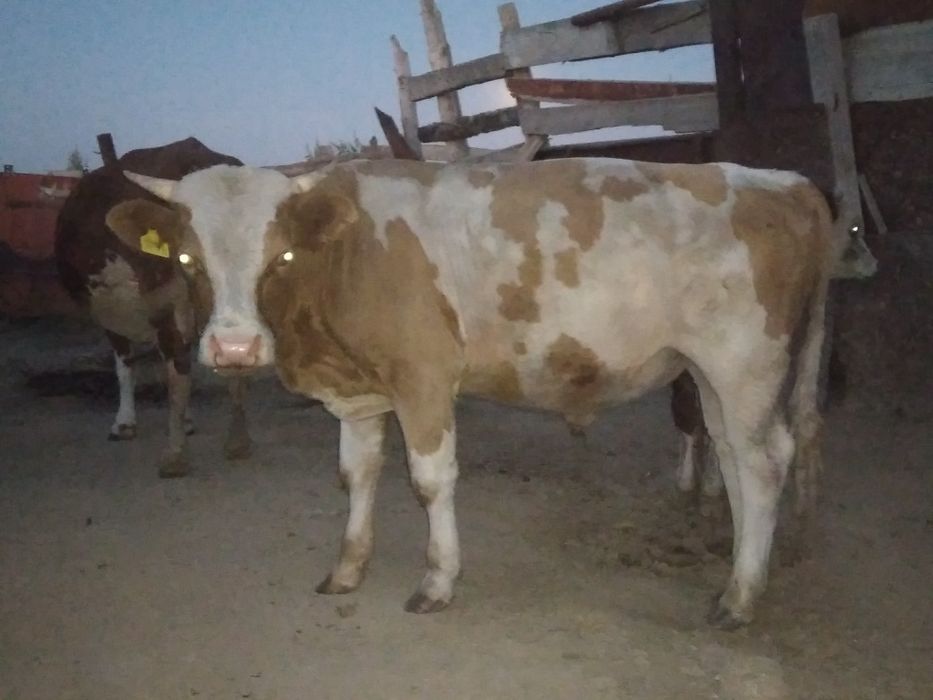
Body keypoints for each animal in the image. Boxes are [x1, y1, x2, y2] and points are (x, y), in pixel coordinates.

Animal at [104, 157, 842, 628]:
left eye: (280, 255)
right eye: (186, 259)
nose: (233, 348)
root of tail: (781, 180)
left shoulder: (423, 378)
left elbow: (429, 481)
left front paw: (437, 581)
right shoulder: (360, 392)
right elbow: (356, 474)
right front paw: (348, 568)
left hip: (744, 360)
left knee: (763, 460)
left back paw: (741, 598)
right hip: (710, 373)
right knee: (733, 455)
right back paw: (740, 573)